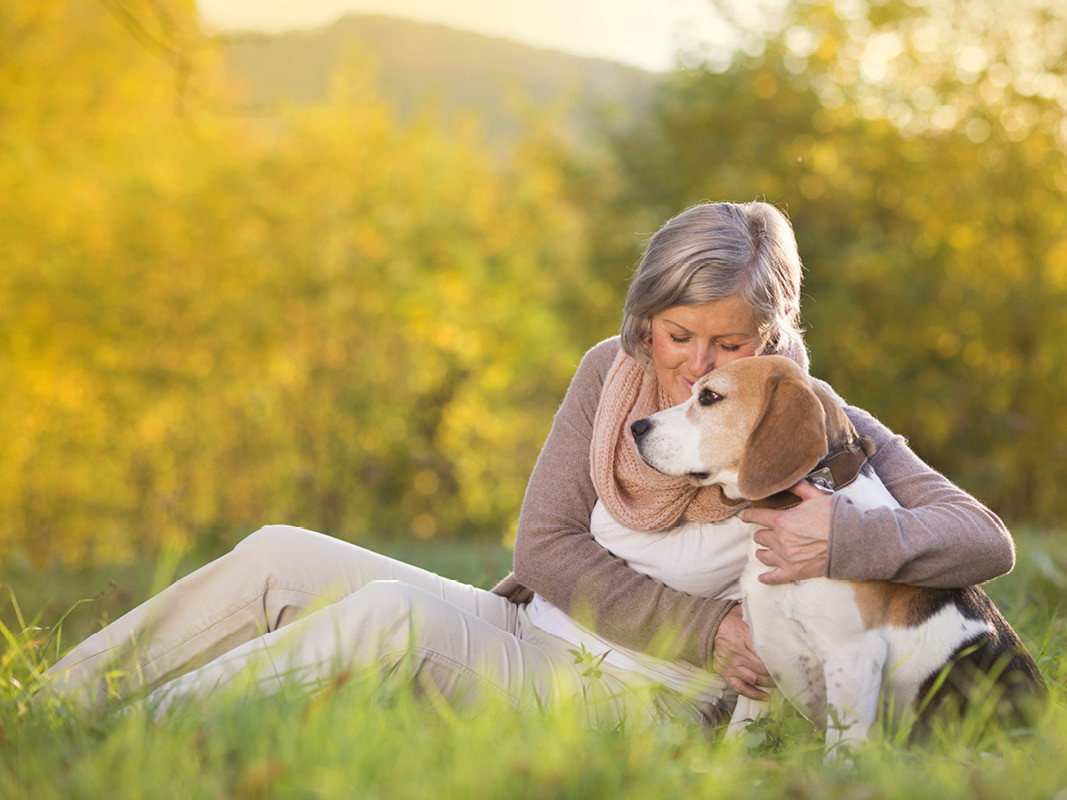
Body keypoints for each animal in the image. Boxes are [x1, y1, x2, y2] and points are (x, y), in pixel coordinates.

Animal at [627, 356, 1045, 759]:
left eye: (710, 397)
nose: (636, 427)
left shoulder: (853, 658)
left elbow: (841, 749)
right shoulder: (764, 657)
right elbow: (739, 736)